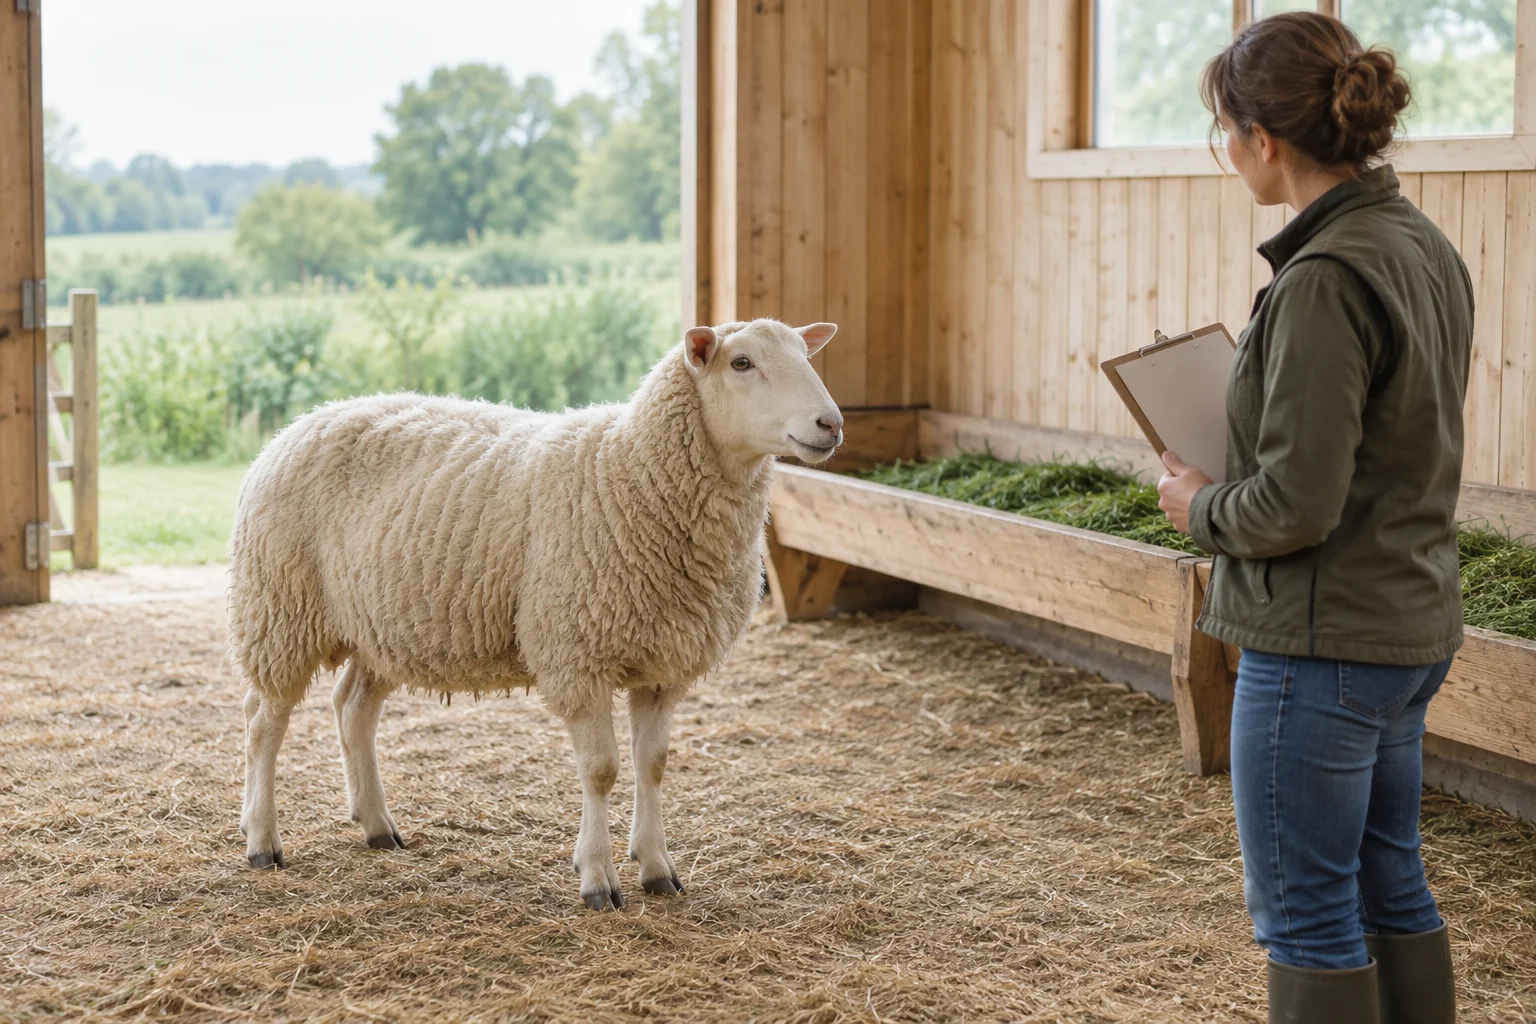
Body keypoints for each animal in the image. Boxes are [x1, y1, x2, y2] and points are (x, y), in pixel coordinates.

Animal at [228, 318, 842, 910]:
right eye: (741, 362)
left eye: (805, 355)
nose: (831, 423)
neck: (627, 470)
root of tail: (301, 422)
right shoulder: (578, 654)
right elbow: (602, 771)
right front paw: (597, 879)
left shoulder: (663, 664)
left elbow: (653, 764)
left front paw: (656, 868)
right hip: (279, 610)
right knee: (263, 722)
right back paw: (262, 841)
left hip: (382, 624)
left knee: (352, 709)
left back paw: (378, 826)